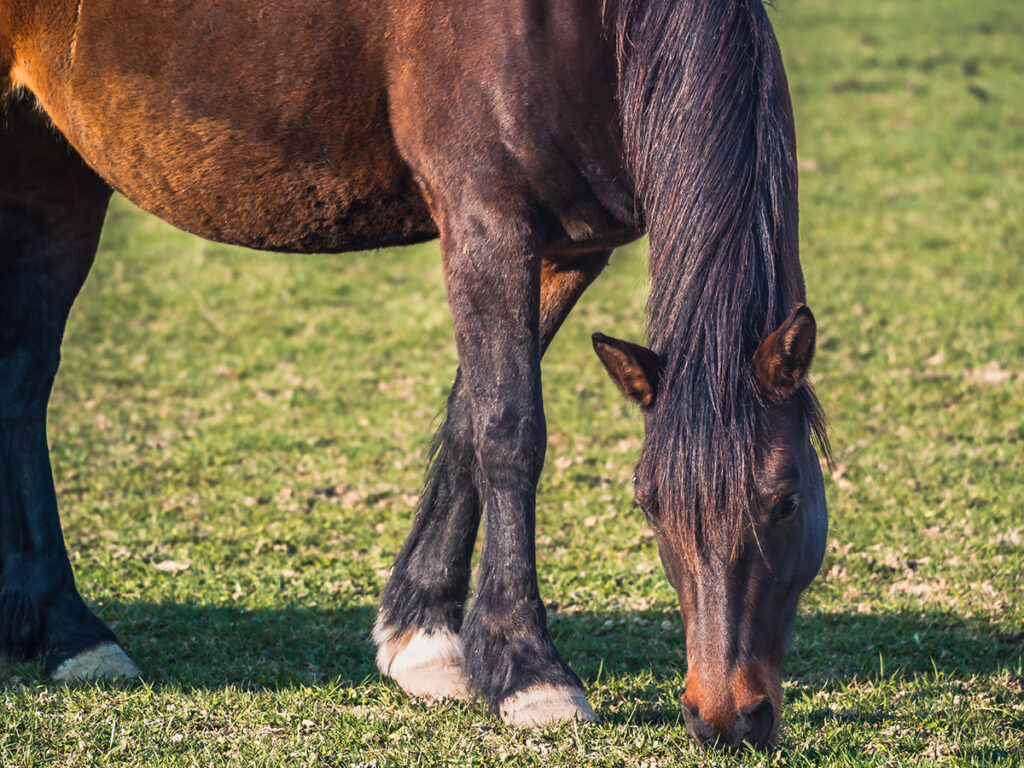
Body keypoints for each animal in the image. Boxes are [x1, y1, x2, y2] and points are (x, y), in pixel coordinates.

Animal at [0, 0, 829, 750]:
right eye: (649, 507)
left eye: (786, 502)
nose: (725, 719)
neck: (584, 25)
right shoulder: (487, 224)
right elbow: (510, 431)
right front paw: (530, 671)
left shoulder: (565, 250)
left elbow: (468, 423)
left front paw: (421, 635)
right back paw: (71, 629)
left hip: (50, 166)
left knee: (22, 376)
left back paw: (50, 627)